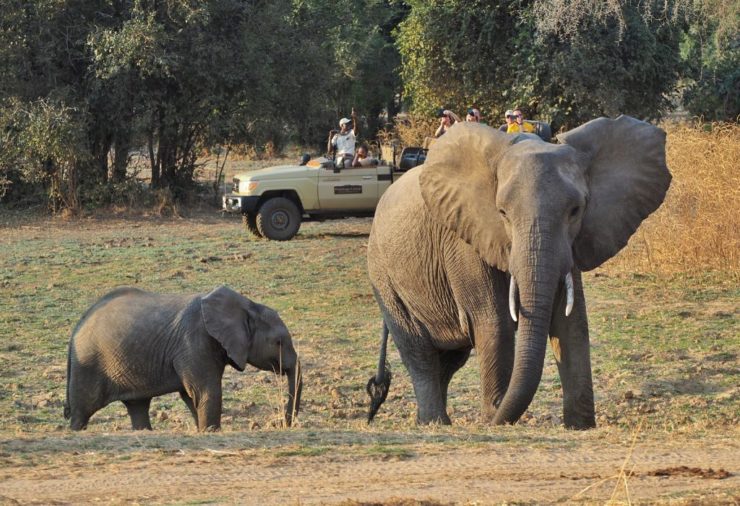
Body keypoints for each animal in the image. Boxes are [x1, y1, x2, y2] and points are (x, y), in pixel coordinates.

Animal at [63, 284, 300, 430]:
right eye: (279, 342)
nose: (284, 424)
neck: (246, 305)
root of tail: (76, 327)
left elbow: (193, 395)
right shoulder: (194, 341)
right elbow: (206, 391)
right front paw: (210, 431)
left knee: (138, 406)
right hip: (89, 365)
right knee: (82, 410)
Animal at [364, 116, 672, 428]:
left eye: (575, 210)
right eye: (502, 213)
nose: (493, 418)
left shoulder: (571, 243)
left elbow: (570, 322)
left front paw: (580, 426)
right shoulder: (464, 239)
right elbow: (494, 321)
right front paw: (495, 418)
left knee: (450, 360)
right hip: (382, 274)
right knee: (419, 352)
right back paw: (435, 423)